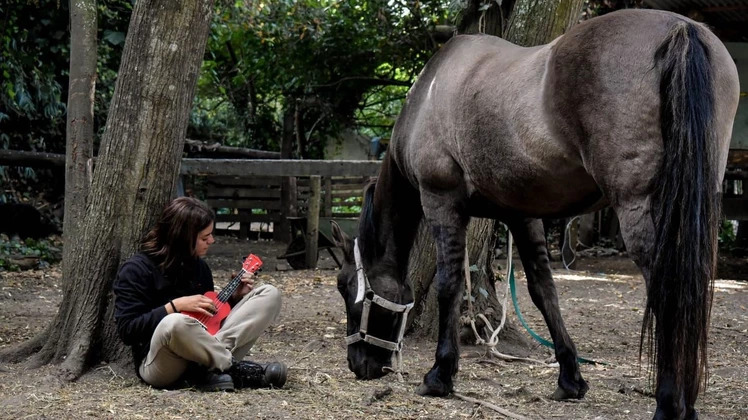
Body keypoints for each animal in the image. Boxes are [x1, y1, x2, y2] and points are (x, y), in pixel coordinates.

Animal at [330, 9, 740, 420]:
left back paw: (671, 404)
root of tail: (680, 28)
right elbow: (544, 291)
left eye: (346, 287)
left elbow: (450, 285)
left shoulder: (441, 201)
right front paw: (570, 378)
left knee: (668, 290)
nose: (358, 364)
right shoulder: (522, 216)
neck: (428, 95)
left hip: (639, 207)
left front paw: (440, 375)